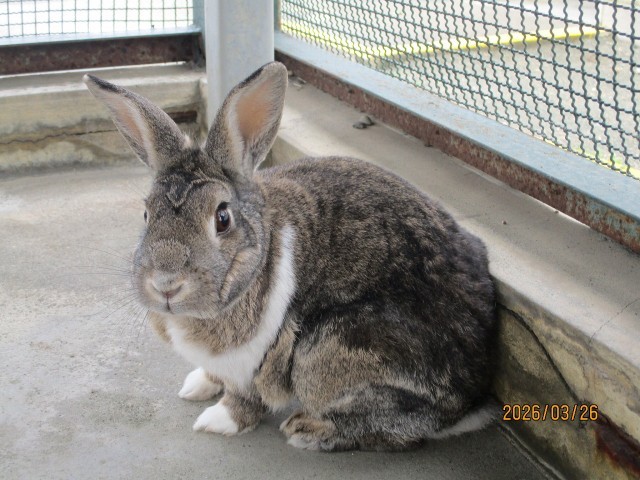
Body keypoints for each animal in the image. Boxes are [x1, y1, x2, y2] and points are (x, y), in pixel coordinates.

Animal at [83, 61, 497, 451]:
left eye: (222, 218)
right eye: (146, 214)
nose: (166, 285)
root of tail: (474, 400)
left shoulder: (257, 360)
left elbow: (246, 399)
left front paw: (216, 421)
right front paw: (196, 385)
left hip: (327, 354)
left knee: (401, 430)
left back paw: (307, 429)